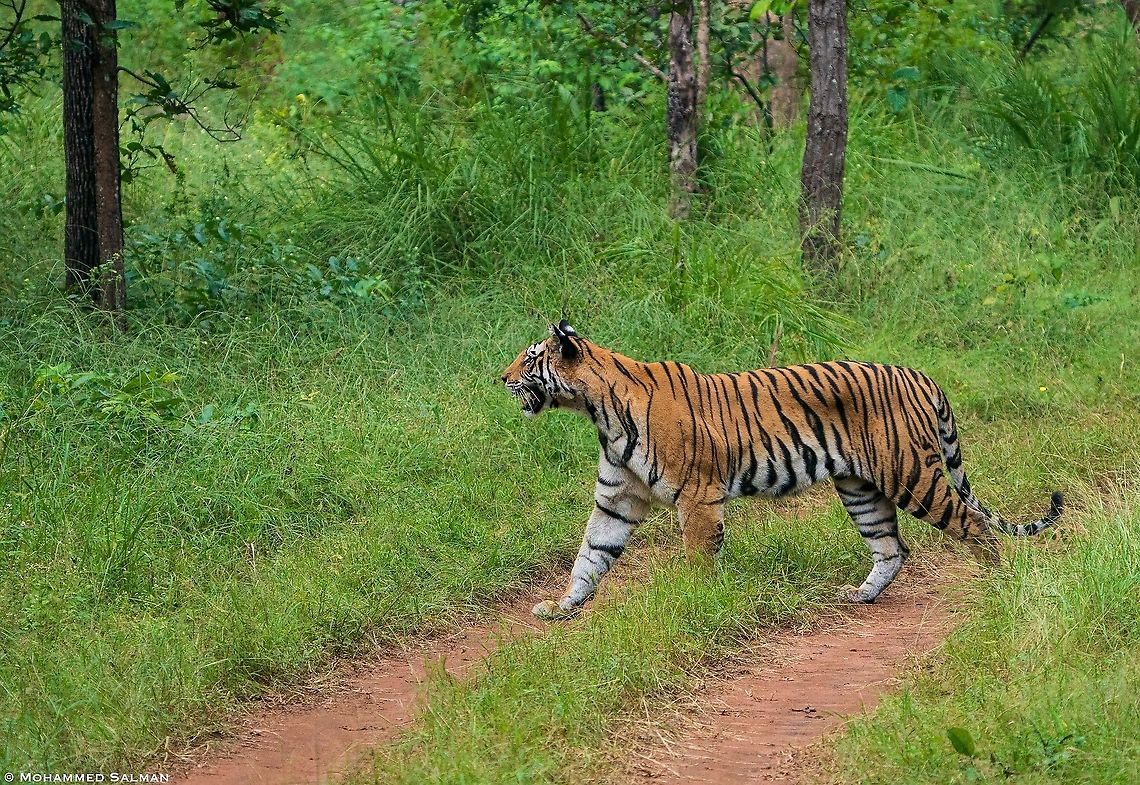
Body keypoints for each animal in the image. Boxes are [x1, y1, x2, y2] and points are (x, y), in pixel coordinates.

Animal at [501, 321, 1063, 620]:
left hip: (911, 475)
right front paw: (561, 607)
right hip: (860, 487)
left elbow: (697, 558)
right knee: (892, 547)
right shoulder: (615, 499)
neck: (596, 410)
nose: (499, 378)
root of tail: (920, 374)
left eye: (529, 359)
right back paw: (861, 595)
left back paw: (995, 585)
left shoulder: (698, 496)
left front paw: (695, 604)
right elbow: (590, 555)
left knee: (974, 523)